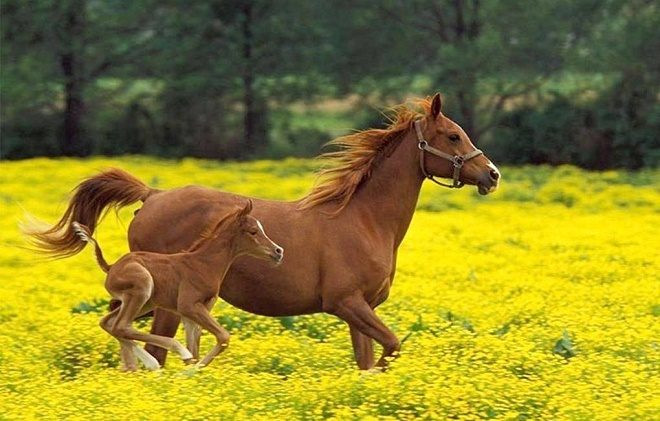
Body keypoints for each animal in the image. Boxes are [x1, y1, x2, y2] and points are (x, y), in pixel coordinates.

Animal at [73, 200, 284, 368]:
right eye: (253, 231)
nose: (278, 251)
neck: (204, 264)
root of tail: (111, 267)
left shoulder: (193, 312)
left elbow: (197, 347)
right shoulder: (188, 306)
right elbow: (223, 337)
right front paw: (190, 369)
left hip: (146, 302)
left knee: (109, 323)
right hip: (142, 288)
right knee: (121, 325)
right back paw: (161, 359)